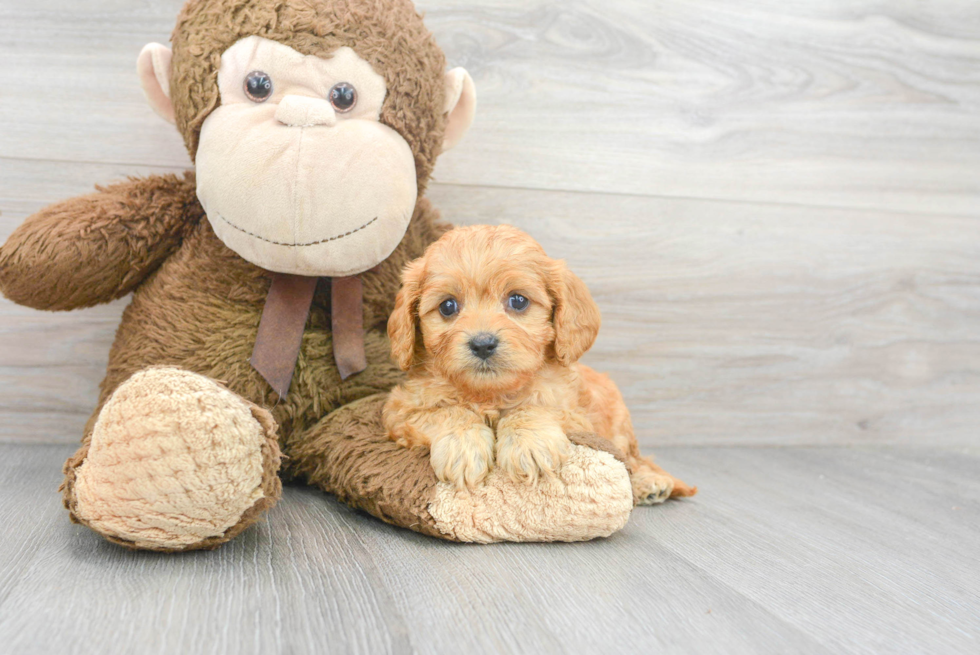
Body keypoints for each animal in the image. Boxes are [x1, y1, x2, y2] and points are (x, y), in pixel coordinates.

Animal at [382, 223, 696, 504]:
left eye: (518, 301)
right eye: (448, 306)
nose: (482, 343)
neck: (491, 393)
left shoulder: (574, 413)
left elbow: (535, 406)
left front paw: (528, 443)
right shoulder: (400, 410)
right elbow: (448, 412)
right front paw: (462, 447)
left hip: (618, 428)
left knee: (633, 459)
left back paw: (649, 483)